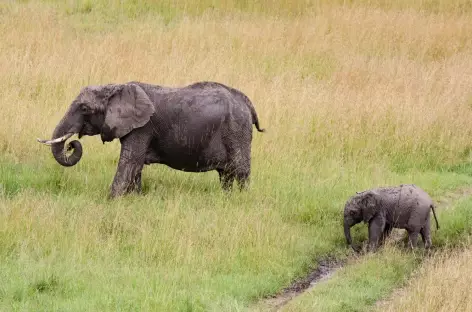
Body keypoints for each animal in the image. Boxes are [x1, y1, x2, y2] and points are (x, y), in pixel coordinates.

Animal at [37, 81, 264, 197]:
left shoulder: (142, 128)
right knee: (226, 175)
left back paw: (241, 199)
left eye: (84, 108)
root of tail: (247, 102)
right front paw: (135, 199)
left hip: (237, 130)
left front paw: (111, 200)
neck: (116, 87)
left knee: (240, 172)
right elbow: (135, 166)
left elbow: (129, 163)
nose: (71, 144)